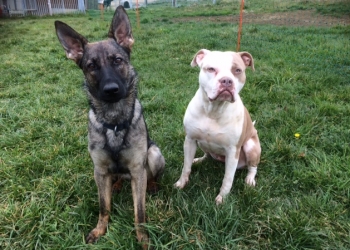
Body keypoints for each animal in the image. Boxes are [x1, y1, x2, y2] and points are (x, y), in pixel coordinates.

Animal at [53, 5, 165, 248]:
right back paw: (116, 186)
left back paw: (152, 186)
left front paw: (143, 238)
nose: (111, 90)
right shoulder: (100, 170)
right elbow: (104, 206)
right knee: (116, 180)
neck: (114, 122)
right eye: (91, 66)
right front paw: (100, 230)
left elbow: (139, 212)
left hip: (153, 153)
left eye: (117, 60)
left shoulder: (137, 169)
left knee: (151, 175)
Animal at [174, 49, 262, 205]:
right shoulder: (190, 140)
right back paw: (198, 160)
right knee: (207, 154)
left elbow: (228, 179)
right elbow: (186, 166)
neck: (213, 110)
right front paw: (181, 183)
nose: (227, 81)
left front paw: (222, 199)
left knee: (253, 167)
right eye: (211, 69)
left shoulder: (232, 151)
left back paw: (250, 180)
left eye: (237, 70)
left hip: (251, 147)